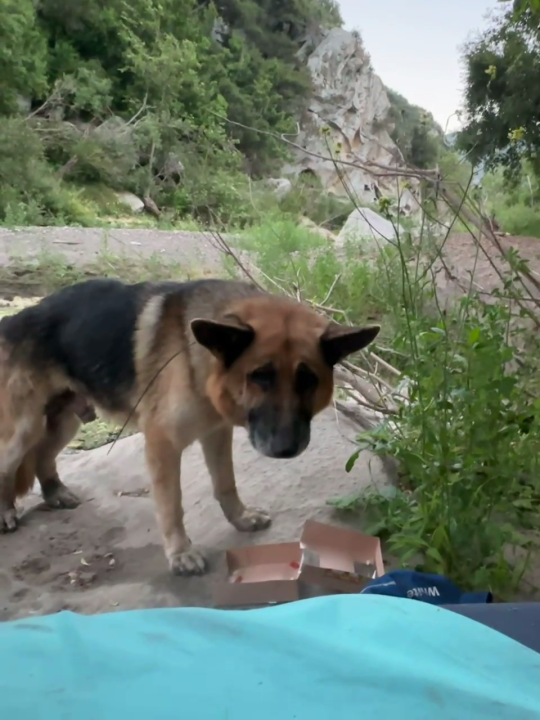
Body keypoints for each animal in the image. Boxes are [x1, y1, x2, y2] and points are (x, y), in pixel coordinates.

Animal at [0, 278, 380, 576]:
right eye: (261, 376)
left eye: (307, 380)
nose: (285, 449)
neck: (199, 360)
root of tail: (17, 317)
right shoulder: (162, 444)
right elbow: (172, 504)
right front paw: (181, 553)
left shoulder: (216, 433)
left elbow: (226, 483)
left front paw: (241, 519)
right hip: (24, 429)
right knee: (9, 464)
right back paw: (6, 513)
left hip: (66, 422)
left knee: (43, 455)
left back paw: (54, 492)